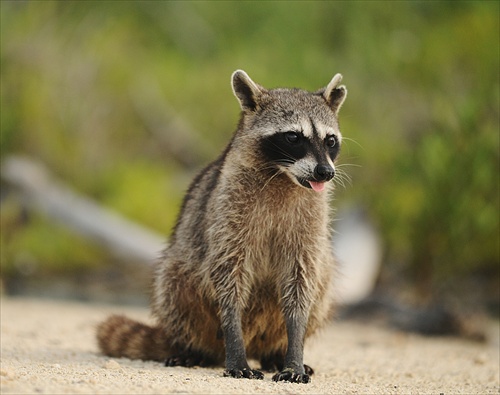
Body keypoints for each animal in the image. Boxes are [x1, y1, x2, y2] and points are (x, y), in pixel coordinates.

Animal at [97, 70, 348, 384]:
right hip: (181, 277)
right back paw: (193, 348)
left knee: (322, 283)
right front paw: (235, 343)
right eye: (293, 137)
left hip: (319, 276)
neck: (282, 175)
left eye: (330, 140)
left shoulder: (311, 222)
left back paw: (276, 352)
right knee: (175, 284)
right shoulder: (227, 209)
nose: (325, 173)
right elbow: (228, 275)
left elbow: (302, 281)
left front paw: (294, 353)